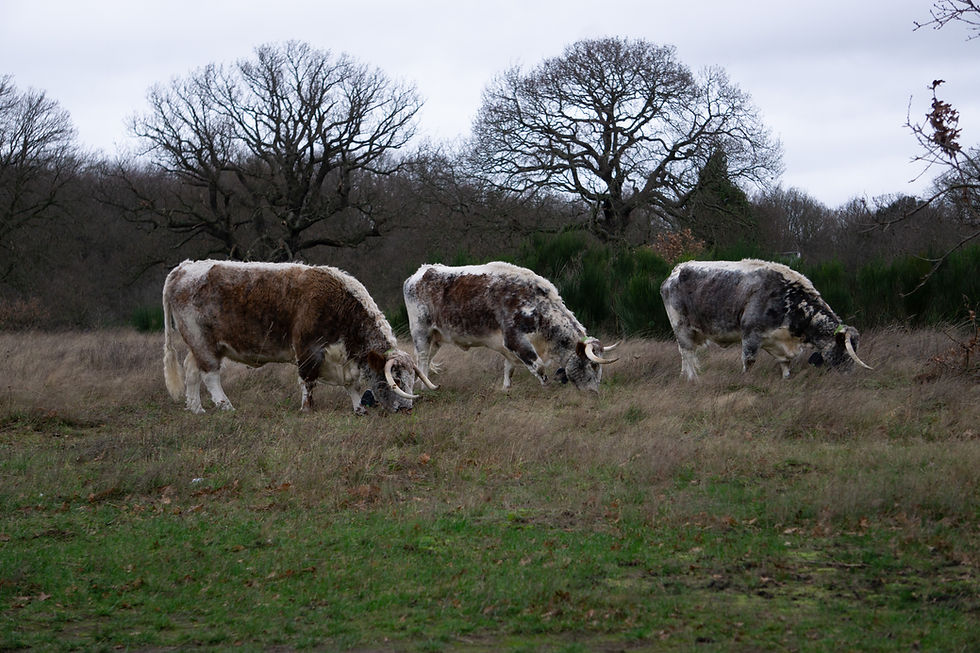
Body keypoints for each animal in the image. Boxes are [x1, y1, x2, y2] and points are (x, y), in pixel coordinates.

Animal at [162, 259, 437, 415]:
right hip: (202, 342)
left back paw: (197, 409)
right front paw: (306, 409)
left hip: (198, 345)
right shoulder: (308, 350)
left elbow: (353, 385)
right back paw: (225, 406)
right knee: (210, 375)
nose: (406, 410)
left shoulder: (344, 359)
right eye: (396, 380)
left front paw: (358, 408)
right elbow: (307, 381)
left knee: (192, 371)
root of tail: (183, 267)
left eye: (411, 381)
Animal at [402, 261, 617, 392]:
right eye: (592, 365)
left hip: (436, 337)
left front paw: (506, 388)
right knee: (423, 358)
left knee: (424, 360)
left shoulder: (508, 346)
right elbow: (539, 367)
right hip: (421, 332)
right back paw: (425, 387)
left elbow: (509, 367)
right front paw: (545, 387)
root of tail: (421, 271)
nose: (594, 393)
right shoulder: (515, 339)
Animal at [660, 259, 872, 380]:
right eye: (844, 350)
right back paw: (691, 378)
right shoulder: (750, 335)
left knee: (687, 354)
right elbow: (749, 361)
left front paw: (786, 379)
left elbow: (786, 365)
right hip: (681, 327)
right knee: (687, 352)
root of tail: (678, 269)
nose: (849, 375)